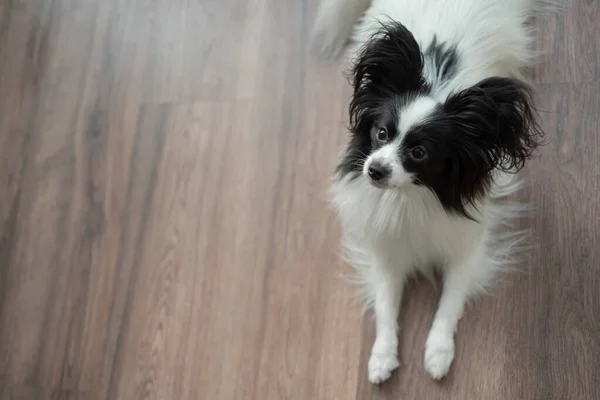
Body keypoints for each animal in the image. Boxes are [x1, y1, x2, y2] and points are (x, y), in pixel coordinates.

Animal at [314, 0, 552, 384]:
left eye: (419, 152)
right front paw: (381, 357)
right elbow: (386, 306)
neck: (411, 196)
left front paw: (438, 353)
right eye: (381, 133)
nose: (374, 169)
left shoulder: (466, 251)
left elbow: (449, 302)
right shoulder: (386, 253)